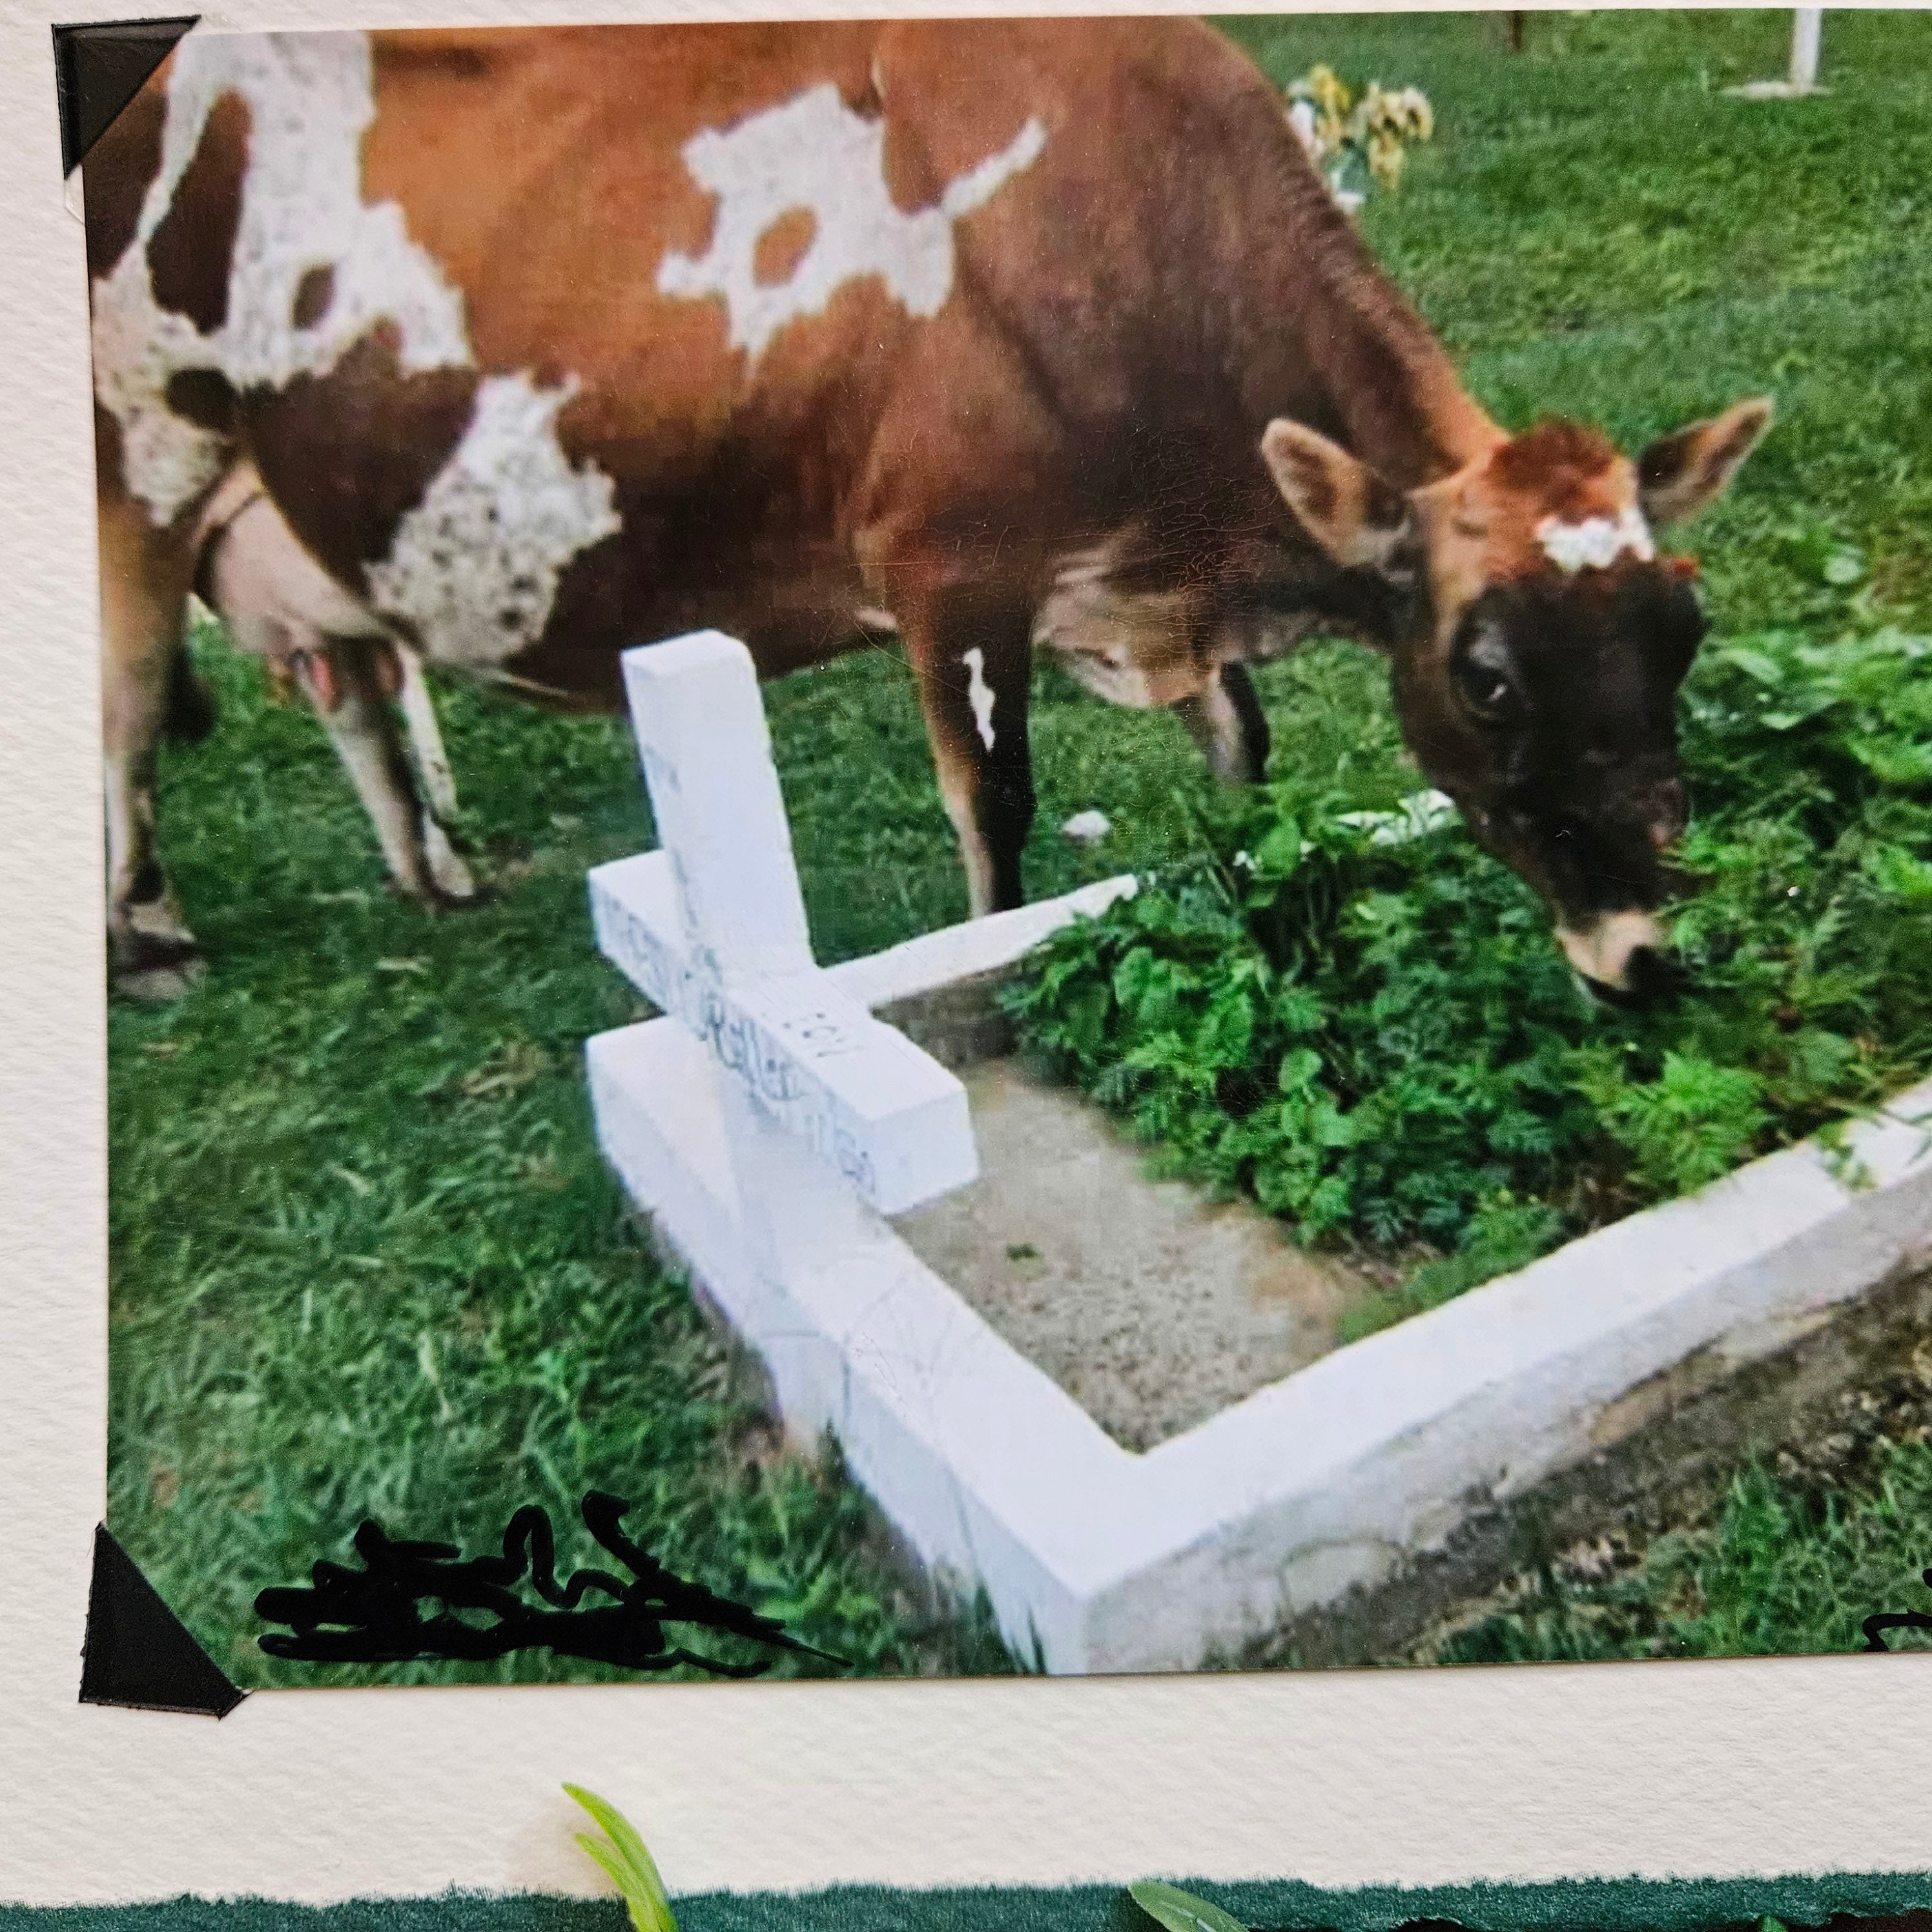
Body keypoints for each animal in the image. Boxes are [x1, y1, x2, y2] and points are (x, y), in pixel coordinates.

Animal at [86, 18, 1770, 1003]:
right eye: (1487, 680)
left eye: (1682, 632)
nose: (1652, 953)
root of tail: (157, 82)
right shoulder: (950, 573)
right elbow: (996, 811)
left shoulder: (1146, 592)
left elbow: (1245, 753)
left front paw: (1259, 881)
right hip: (135, 456)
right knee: (127, 702)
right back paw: (151, 933)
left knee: (353, 684)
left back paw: (427, 870)